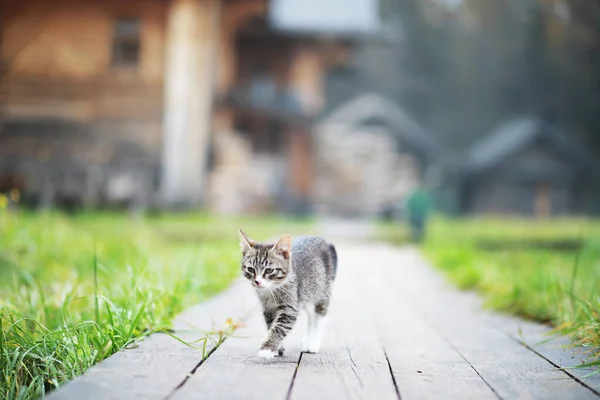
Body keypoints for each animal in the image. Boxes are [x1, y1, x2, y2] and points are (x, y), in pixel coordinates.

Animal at [238, 231, 338, 360]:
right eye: (251, 269)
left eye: (269, 270)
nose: (257, 282)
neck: (271, 290)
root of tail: (325, 242)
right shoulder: (268, 308)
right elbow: (271, 325)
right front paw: (277, 347)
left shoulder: (290, 307)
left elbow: (279, 327)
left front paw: (267, 348)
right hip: (306, 294)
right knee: (311, 314)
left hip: (321, 289)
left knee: (320, 314)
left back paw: (312, 342)